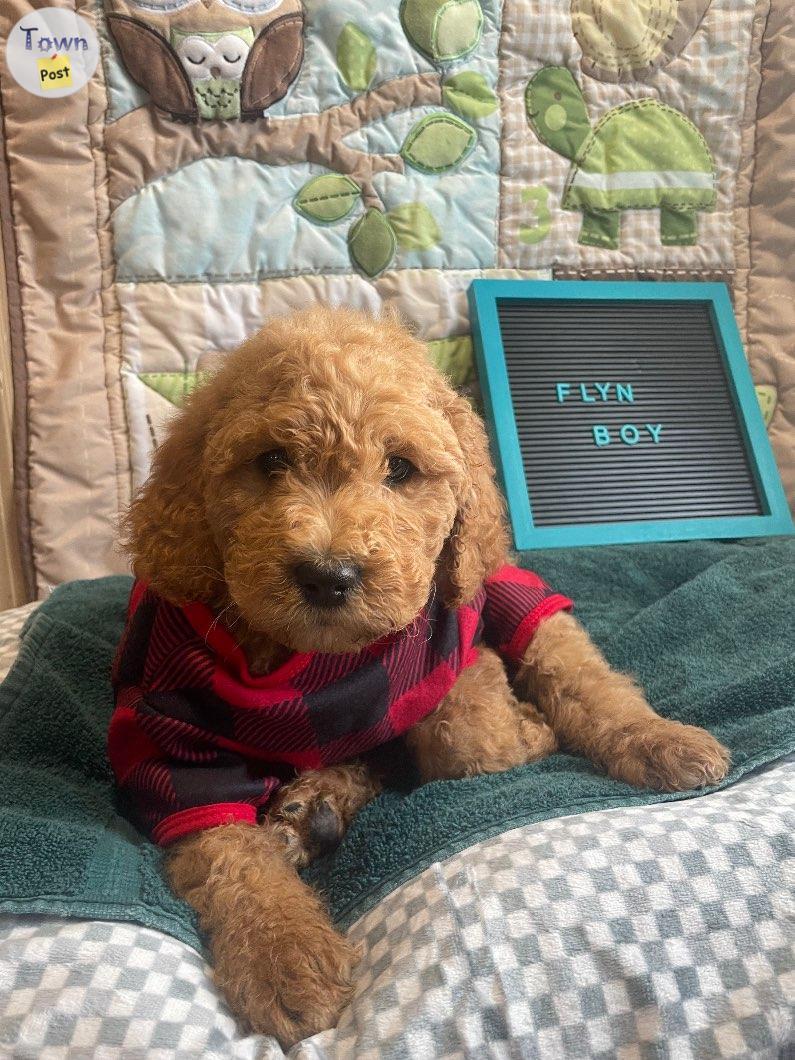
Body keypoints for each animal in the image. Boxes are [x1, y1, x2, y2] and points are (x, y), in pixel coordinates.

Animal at [109, 307, 733, 1043]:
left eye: (400, 469)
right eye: (270, 462)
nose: (328, 575)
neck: (320, 666)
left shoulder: (453, 639)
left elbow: (471, 740)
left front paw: (524, 730)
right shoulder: (170, 735)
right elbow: (228, 850)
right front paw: (283, 957)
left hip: (514, 595)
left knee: (580, 671)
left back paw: (660, 741)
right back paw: (313, 809)